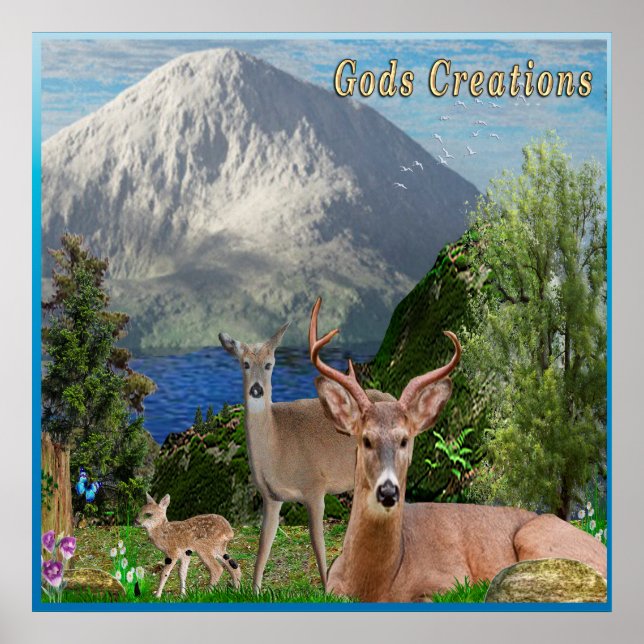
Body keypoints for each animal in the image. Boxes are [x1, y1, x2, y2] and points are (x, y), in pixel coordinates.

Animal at [218, 322, 394, 592]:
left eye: (269, 364)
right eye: (245, 363)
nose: (256, 390)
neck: (277, 447)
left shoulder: (315, 486)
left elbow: (317, 542)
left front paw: (326, 589)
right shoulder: (271, 496)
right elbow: (264, 543)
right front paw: (255, 590)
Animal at [309, 298, 607, 602]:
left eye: (405, 440)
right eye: (366, 440)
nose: (389, 491)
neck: (374, 582)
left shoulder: (450, 578)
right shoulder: (332, 587)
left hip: (536, 538)